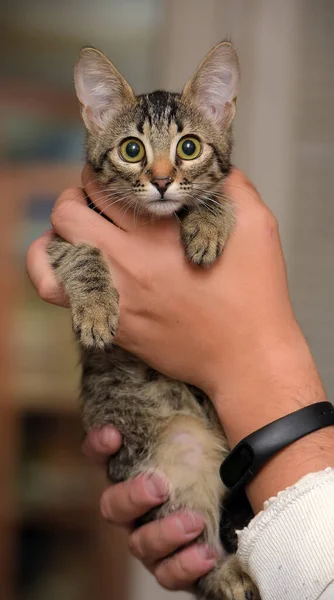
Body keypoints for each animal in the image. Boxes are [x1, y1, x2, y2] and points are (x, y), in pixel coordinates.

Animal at [47, 43, 258, 600]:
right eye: (131, 150)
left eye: (188, 147)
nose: (162, 181)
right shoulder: (58, 236)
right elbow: (81, 253)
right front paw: (96, 310)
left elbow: (217, 196)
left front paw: (207, 224)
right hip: (177, 456)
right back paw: (231, 575)